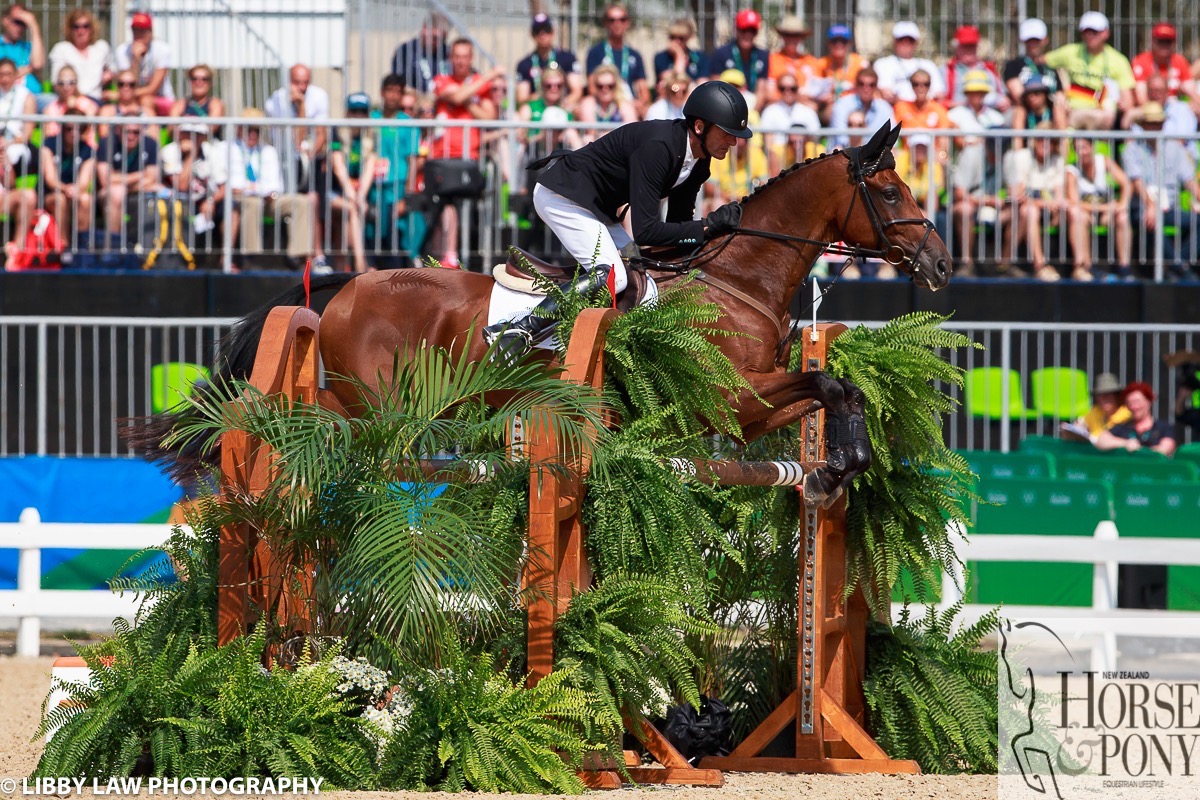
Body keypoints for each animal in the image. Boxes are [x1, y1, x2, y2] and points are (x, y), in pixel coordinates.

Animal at [131, 122, 950, 503]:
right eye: (890, 192)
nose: (941, 265)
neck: (735, 279)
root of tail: (344, 290)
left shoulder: (746, 413)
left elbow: (834, 387)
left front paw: (837, 466)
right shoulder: (729, 399)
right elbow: (830, 383)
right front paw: (845, 461)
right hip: (380, 403)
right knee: (307, 423)